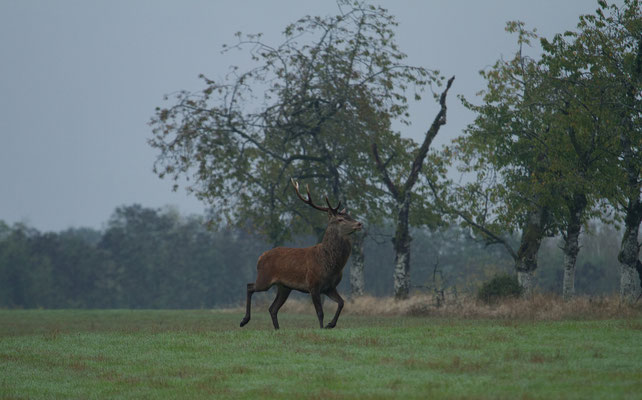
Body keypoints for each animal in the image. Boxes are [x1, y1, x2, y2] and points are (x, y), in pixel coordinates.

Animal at [239, 180, 360, 330]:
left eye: (349, 216)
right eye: (340, 219)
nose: (359, 223)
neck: (330, 263)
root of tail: (260, 257)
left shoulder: (330, 287)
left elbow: (342, 303)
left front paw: (330, 324)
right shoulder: (313, 285)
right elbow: (320, 312)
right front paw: (322, 328)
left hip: (284, 287)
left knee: (272, 308)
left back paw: (277, 329)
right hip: (264, 279)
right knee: (250, 286)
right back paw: (244, 320)